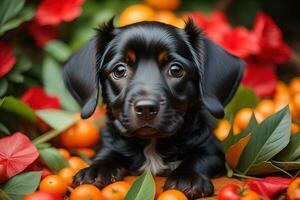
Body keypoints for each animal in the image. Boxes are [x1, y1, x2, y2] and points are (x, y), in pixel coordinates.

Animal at [63, 18, 244, 198]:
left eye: (176, 69)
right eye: (119, 70)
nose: (146, 109)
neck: (152, 144)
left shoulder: (212, 148)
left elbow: (201, 157)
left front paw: (188, 176)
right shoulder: (109, 142)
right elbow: (106, 153)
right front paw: (97, 169)